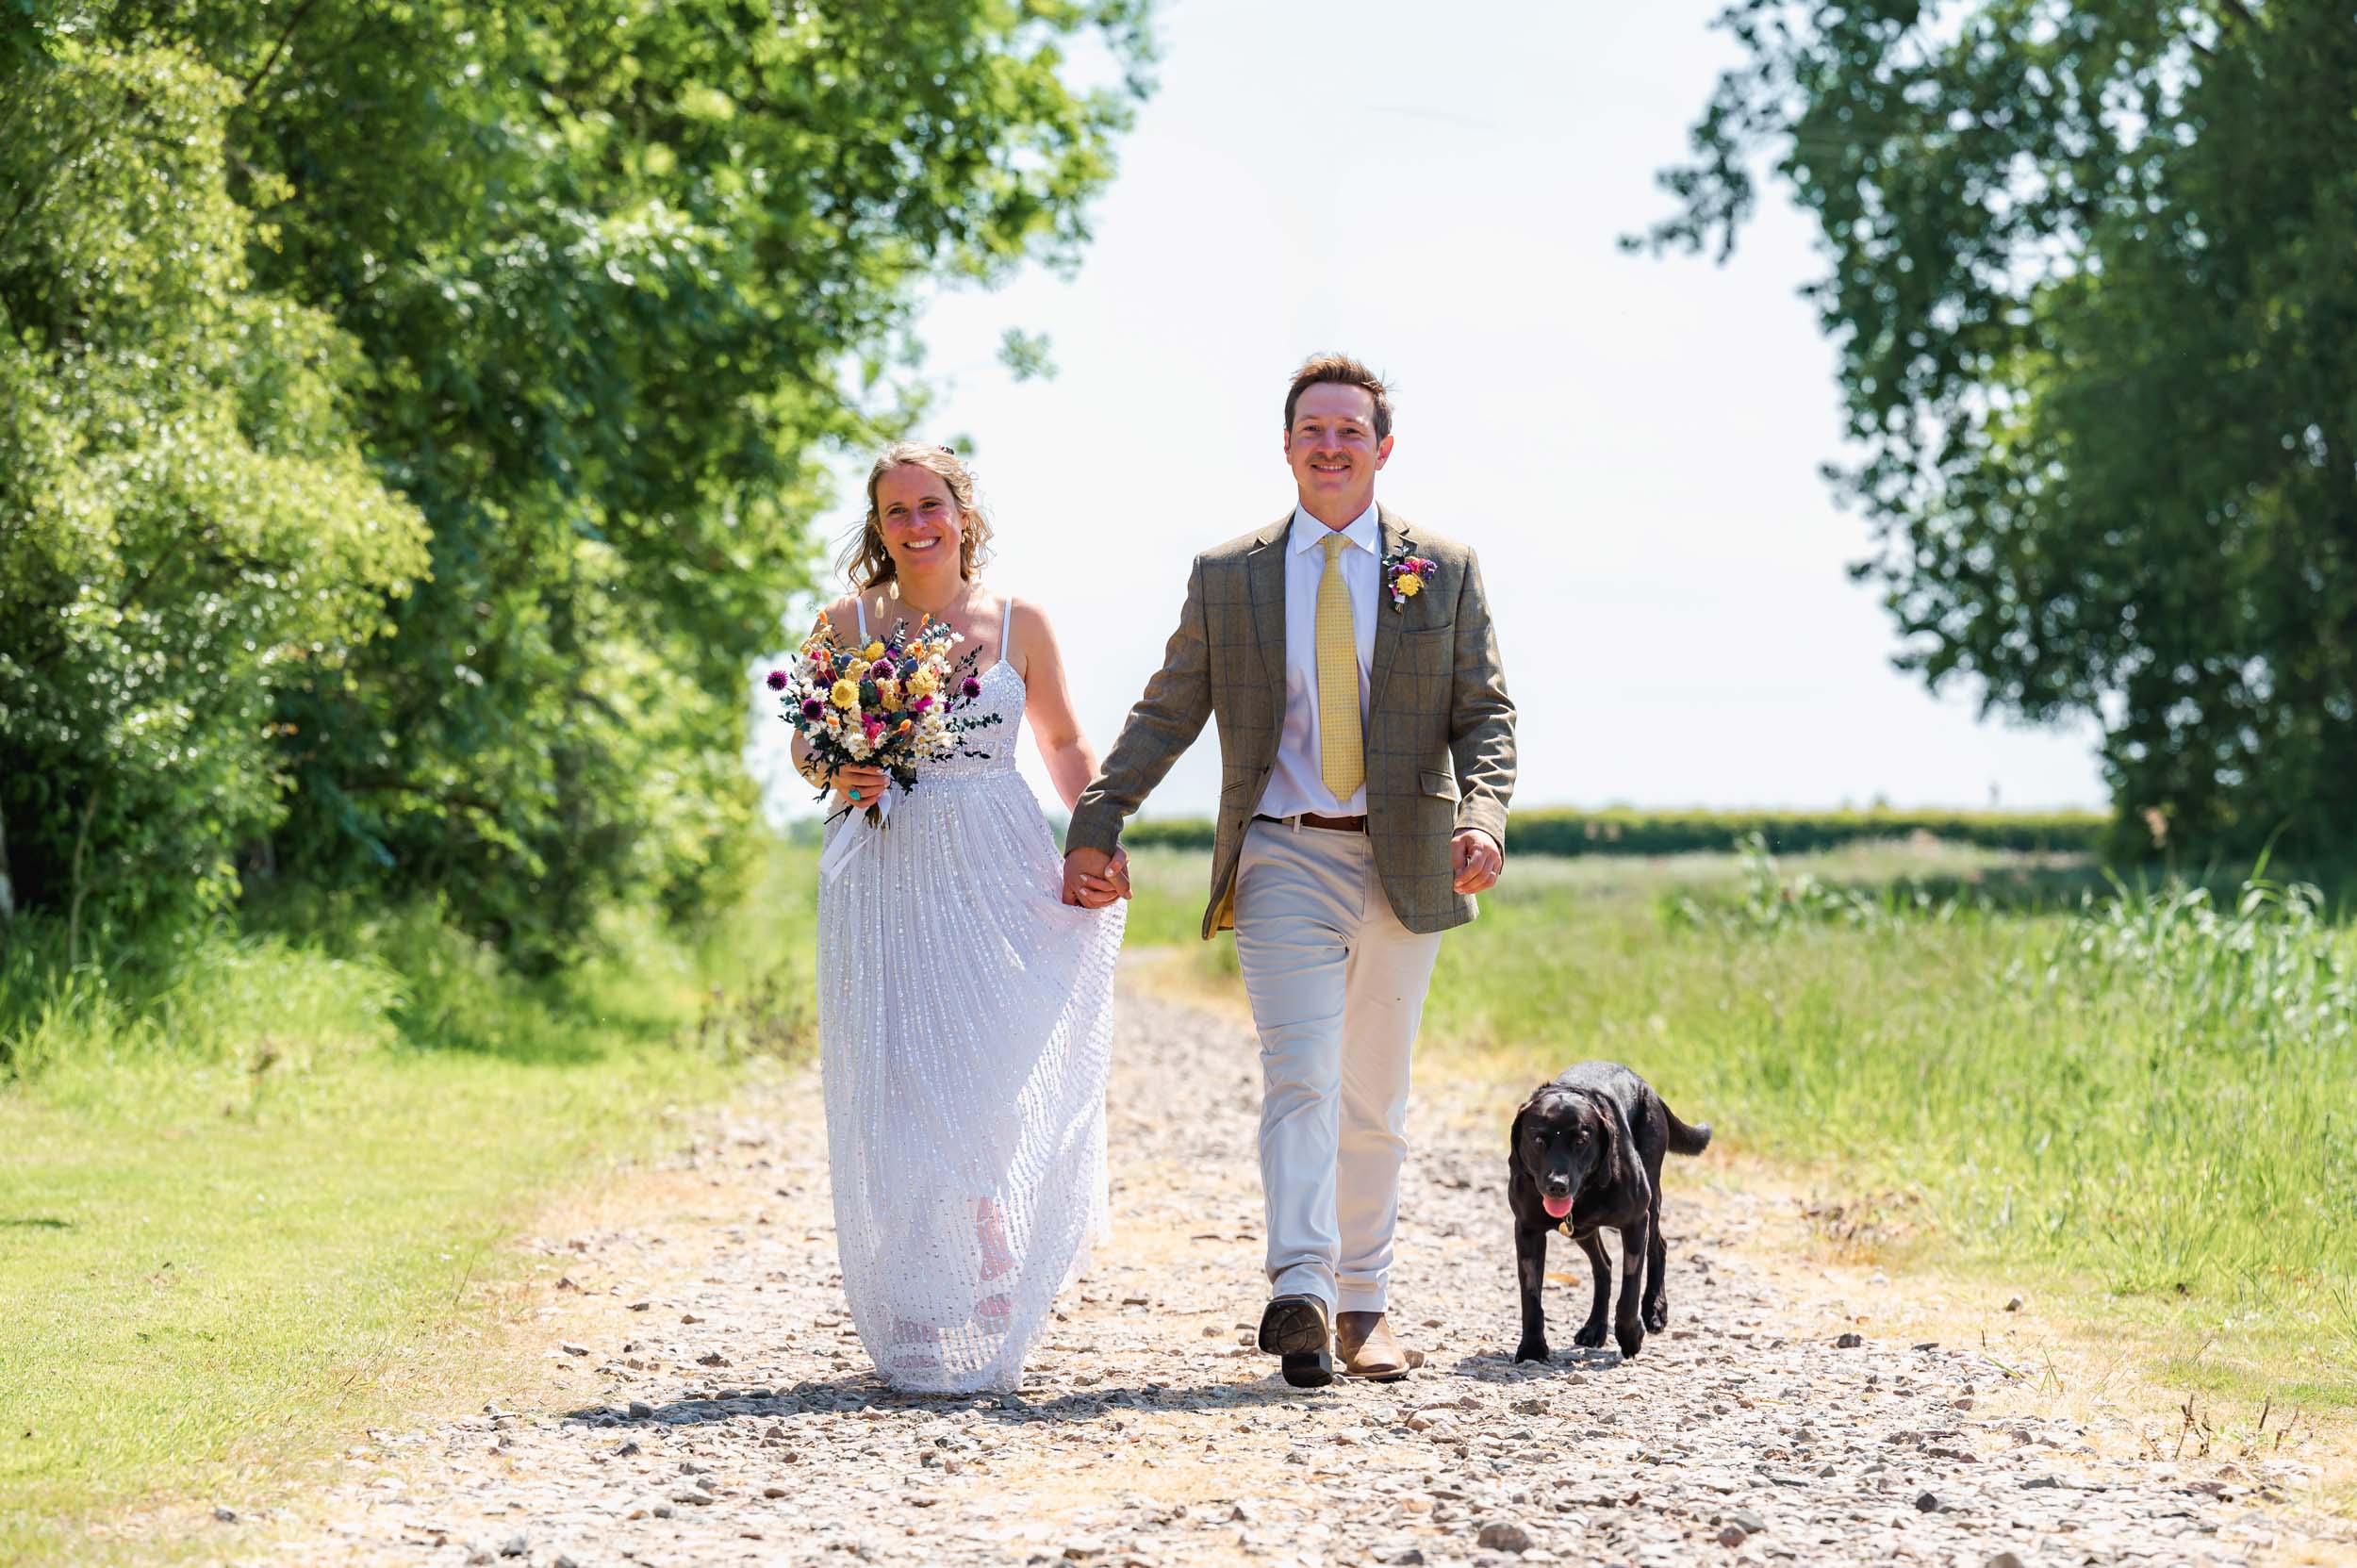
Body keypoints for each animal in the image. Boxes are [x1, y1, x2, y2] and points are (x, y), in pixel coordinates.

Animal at [1508, 1056, 1716, 1367]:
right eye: (1539, 1141)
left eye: (1581, 1141)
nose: (1557, 1185)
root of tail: (1647, 1087)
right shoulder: (1528, 1230)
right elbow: (1531, 1295)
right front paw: (1532, 1348)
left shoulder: (1635, 1222)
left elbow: (1630, 1287)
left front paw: (1630, 1335)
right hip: (1580, 1231)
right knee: (1603, 1265)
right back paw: (1595, 1327)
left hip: (1651, 1199)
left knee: (1659, 1246)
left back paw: (1655, 1309)